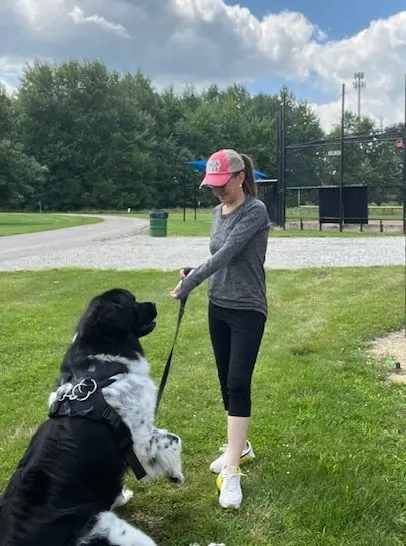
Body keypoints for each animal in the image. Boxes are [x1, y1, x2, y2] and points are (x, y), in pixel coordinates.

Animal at [0, 288, 220, 544]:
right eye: (132, 301)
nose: (154, 304)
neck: (100, 368)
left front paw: (120, 495)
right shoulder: (141, 439)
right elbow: (173, 439)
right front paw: (175, 472)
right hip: (115, 530)